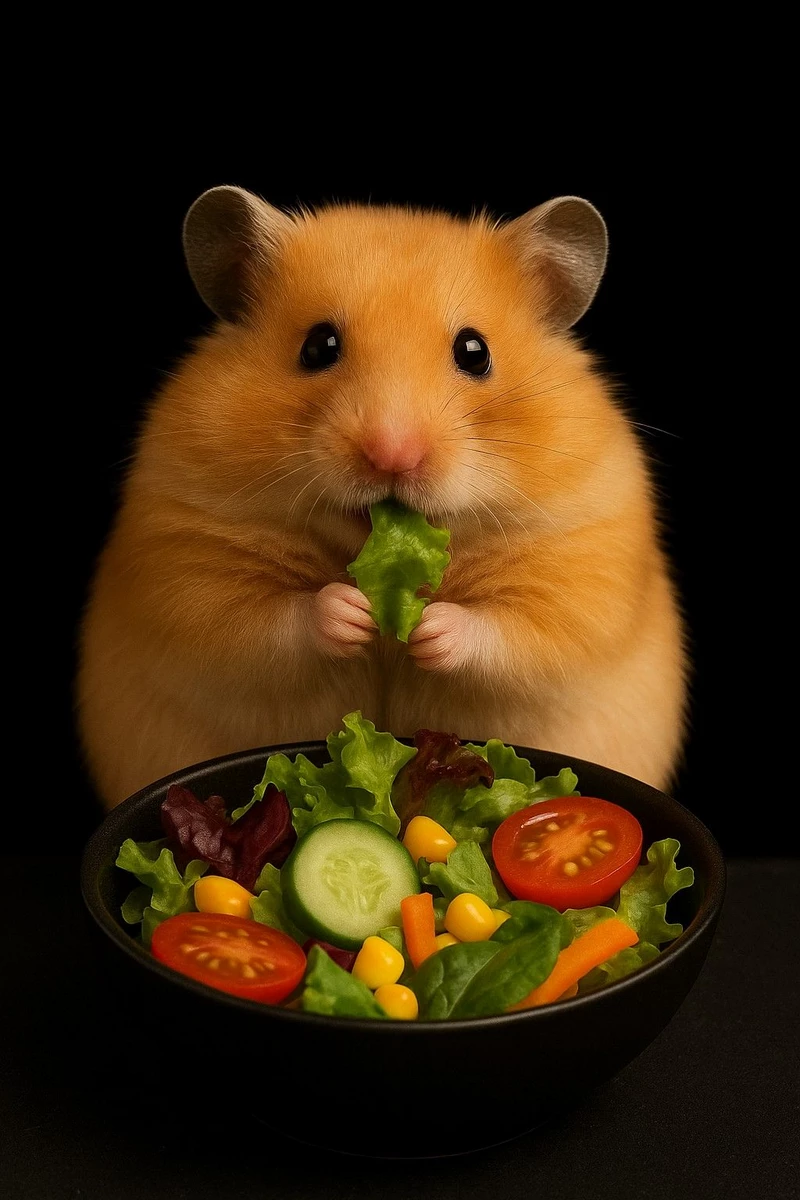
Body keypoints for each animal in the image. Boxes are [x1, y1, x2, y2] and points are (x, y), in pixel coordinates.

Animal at [76, 185, 688, 809]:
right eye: (318, 346)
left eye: (475, 352)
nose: (393, 455)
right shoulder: (189, 556)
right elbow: (263, 622)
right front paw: (352, 613)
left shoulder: (581, 564)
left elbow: (513, 632)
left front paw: (428, 628)